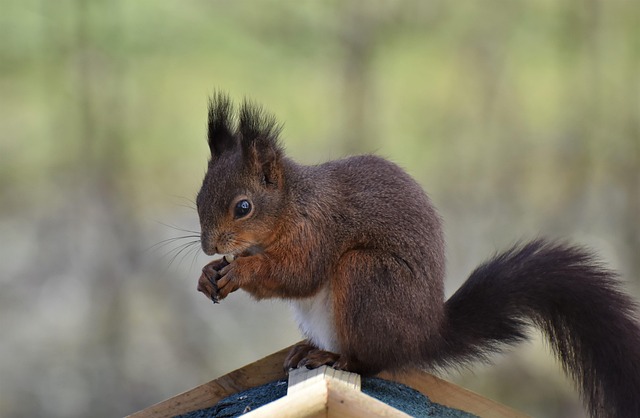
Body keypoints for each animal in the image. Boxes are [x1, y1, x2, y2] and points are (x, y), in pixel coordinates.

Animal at [194, 92, 640, 418]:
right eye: (199, 198)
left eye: (243, 207)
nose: (209, 246)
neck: (292, 203)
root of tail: (425, 335)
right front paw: (207, 274)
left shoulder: (318, 229)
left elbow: (299, 273)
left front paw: (241, 272)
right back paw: (307, 349)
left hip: (368, 277)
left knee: (369, 361)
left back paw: (334, 356)